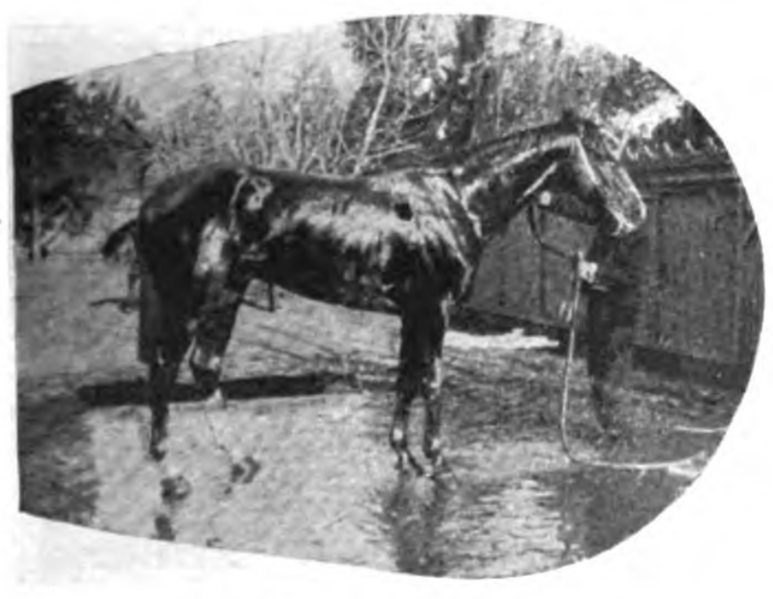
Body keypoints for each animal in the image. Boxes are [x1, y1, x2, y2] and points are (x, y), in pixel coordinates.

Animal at [102, 111, 644, 478]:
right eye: (604, 155)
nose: (635, 212)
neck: (457, 200)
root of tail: (151, 204)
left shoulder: (411, 311)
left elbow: (406, 378)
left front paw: (403, 454)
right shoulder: (436, 308)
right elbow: (433, 379)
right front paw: (437, 460)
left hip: (209, 294)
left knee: (181, 367)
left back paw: (183, 461)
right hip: (205, 296)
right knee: (183, 366)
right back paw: (210, 463)